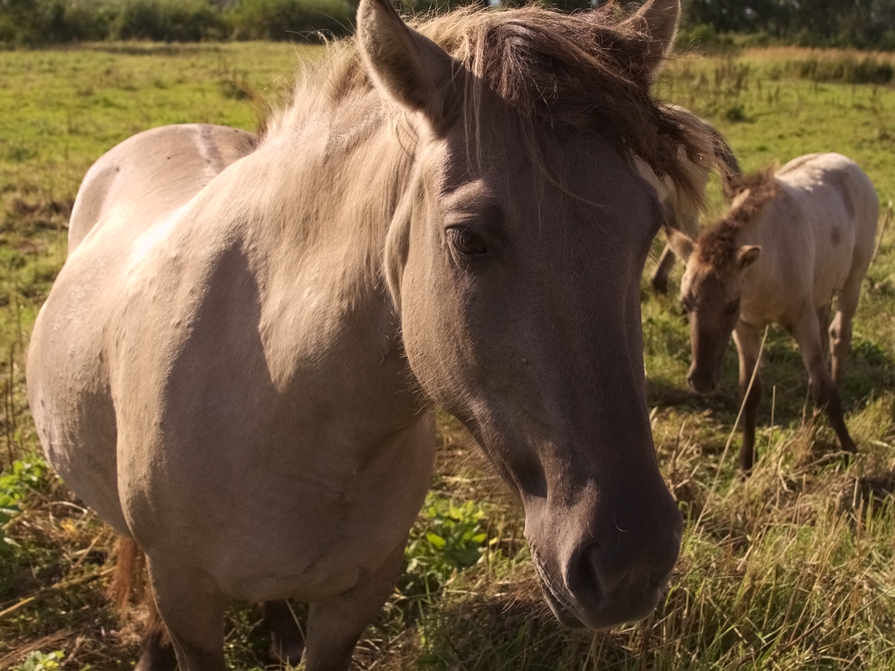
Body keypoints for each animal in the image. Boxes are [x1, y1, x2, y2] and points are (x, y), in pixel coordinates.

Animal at [29, 2, 720, 668]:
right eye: (468, 238)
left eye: (649, 229)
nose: (632, 565)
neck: (284, 401)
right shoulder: (188, 601)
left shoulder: (355, 600)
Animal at [668, 155, 880, 476]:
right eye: (685, 304)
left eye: (730, 305)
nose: (702, 381)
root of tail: (848, 162)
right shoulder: (745, 328)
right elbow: (750, 391)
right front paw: (746, 463)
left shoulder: (800, 320)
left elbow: (825, 388)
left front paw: (849, 449)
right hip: (820, 293)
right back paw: (812, 419)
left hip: (852, 283)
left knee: (838, 337)